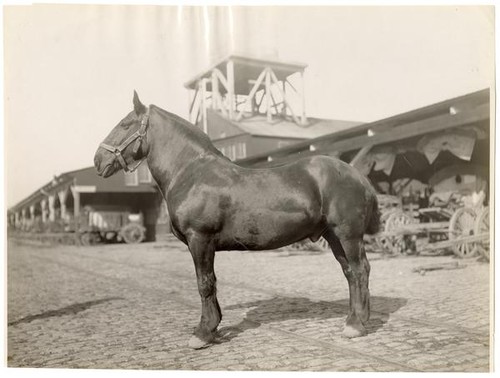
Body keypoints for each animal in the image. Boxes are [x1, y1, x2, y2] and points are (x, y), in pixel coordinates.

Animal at [94, 91, 380, 348]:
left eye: (125, 124)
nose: (98, 160)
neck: (191, 172)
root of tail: (357, 174)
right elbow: (211, 283)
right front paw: (213, 327)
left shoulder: (200, 239)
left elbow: (204, 283)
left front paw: (203, 334)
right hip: (333, 236)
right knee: (350, 273)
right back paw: (353, 319)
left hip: (348, 234)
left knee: (360, 269)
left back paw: (356, 326)